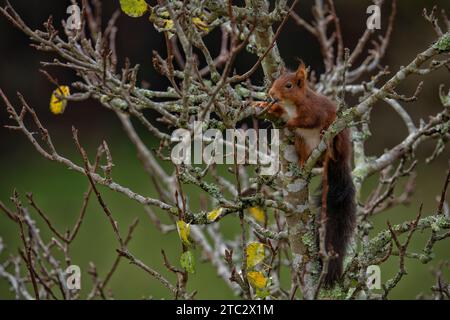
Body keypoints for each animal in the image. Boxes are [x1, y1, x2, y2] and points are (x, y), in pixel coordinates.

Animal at [258, 61, 356, 286]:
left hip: (339, 137)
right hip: (302, 143)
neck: (292, 106)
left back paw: (330, 145)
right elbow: (277, 111)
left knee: (335, 148)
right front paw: (261, 105)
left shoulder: (314, 111)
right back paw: (303, 162)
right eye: (276, 81)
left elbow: (308, 120)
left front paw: (291, 122)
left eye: (288, 85)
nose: (271, 93)